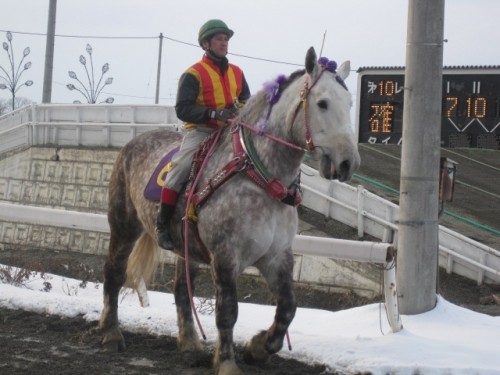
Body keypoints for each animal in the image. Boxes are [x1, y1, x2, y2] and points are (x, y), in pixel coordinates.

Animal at [99, 47, 360, 375]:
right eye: (323, 103)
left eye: (349, 103)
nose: (348, 162)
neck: (259, 176)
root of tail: (133, 142)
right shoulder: (225, 256)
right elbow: (227, 312)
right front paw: (227, 363)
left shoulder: (276, 256)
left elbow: (288, 307)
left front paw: (258, 348)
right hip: (123, 227)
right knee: (114, 273)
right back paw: (111, 332)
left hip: (185, 247)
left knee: (181, 289)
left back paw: (190, 344)